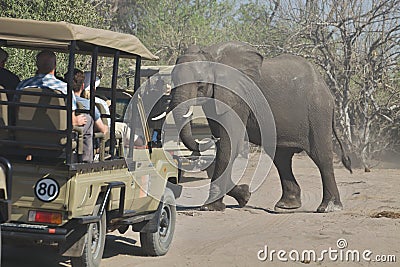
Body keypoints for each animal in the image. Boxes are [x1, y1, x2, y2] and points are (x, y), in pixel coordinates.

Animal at [170, 41, 352, 214]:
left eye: (200, 83)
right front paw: (245, 196)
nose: (208, 139)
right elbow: (224, 144)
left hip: (318, 112)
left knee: (320, 156)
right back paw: (286, 206)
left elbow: (229, 144)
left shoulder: (237, 97)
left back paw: (329, 208)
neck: (211, 56)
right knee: (281, 158)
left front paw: (210, 208)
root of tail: (326, 88)